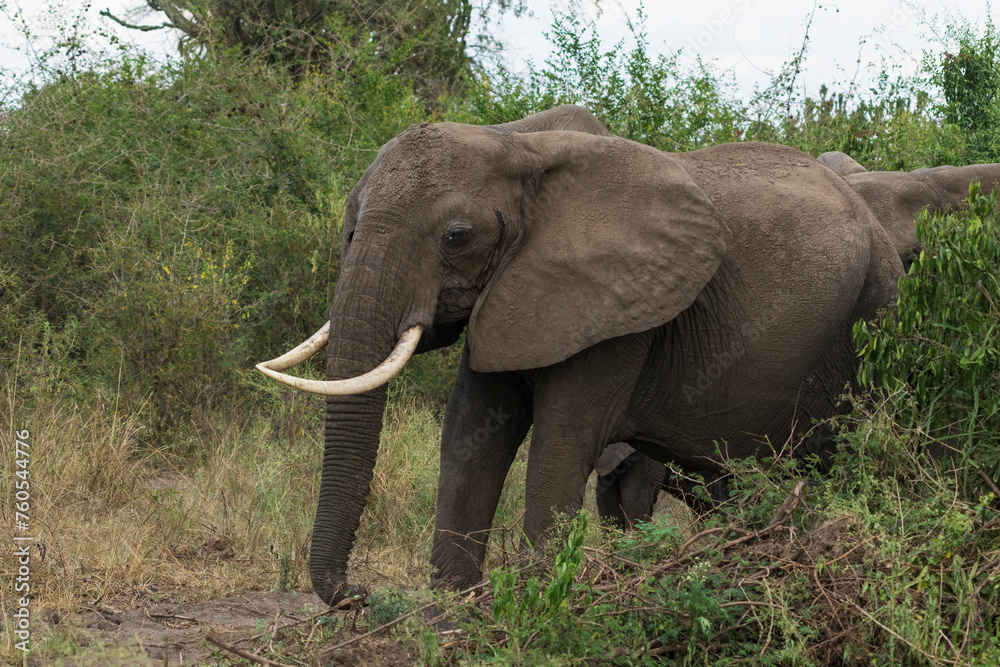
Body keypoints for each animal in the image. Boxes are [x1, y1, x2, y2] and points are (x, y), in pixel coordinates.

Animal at [257, 104, 908, 605]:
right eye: (349, 227)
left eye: (456, 238)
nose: (358, 595)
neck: (520, 142)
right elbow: (472, 429)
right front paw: (454, 610)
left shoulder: (623, 312)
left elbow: (562, 439)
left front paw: (535, 601)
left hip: (872, 316)